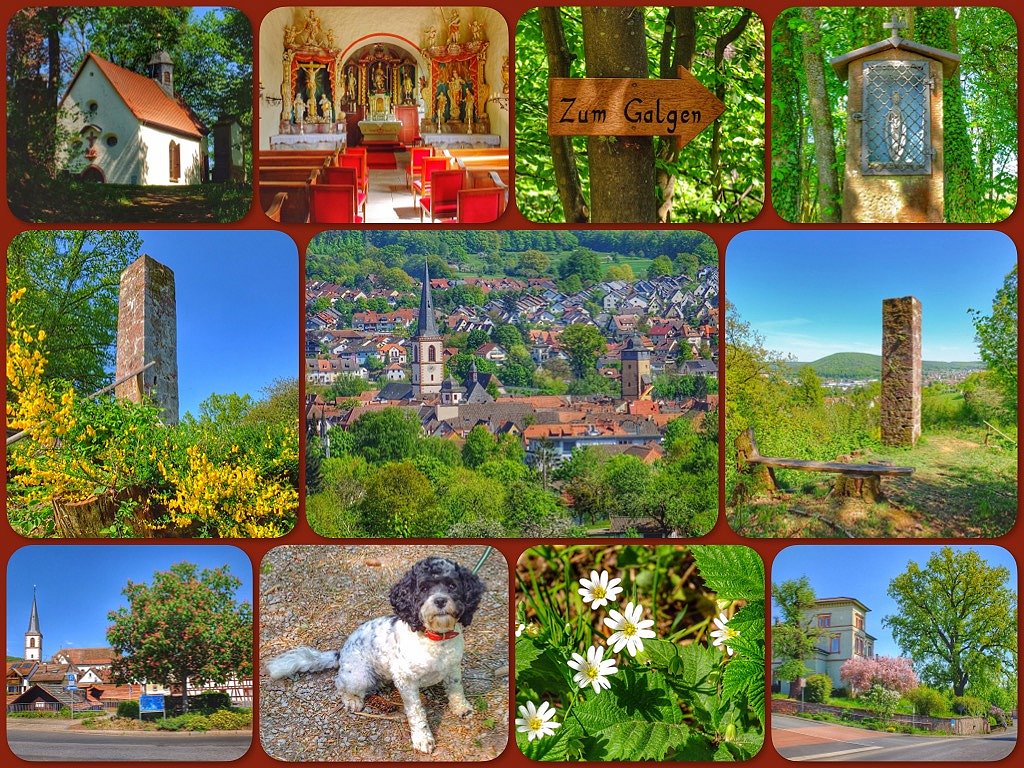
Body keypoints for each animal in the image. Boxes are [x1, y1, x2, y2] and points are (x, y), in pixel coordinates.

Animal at [266, 557, 485, 753]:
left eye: (452, 585)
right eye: (423, 588)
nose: (440, 600)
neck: (436, 640)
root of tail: (341, 653)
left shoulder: (453, 667)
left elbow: (456, 689)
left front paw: (461, 708)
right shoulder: (406, 681)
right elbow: (416, 712)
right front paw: (423, 739)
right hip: (359, 676)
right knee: (340, 683)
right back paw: (352, 699)